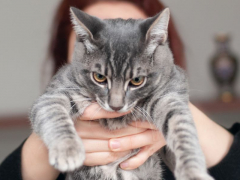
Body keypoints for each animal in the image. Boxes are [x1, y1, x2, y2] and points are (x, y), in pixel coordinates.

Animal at [30, 7, 214, 180]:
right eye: (99, 77)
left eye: (137, 80)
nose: (116, 106)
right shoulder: (55, 93)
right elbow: (55, 115)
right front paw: (68, 151)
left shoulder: (169, 96)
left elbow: (182, 131)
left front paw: (192, 172)